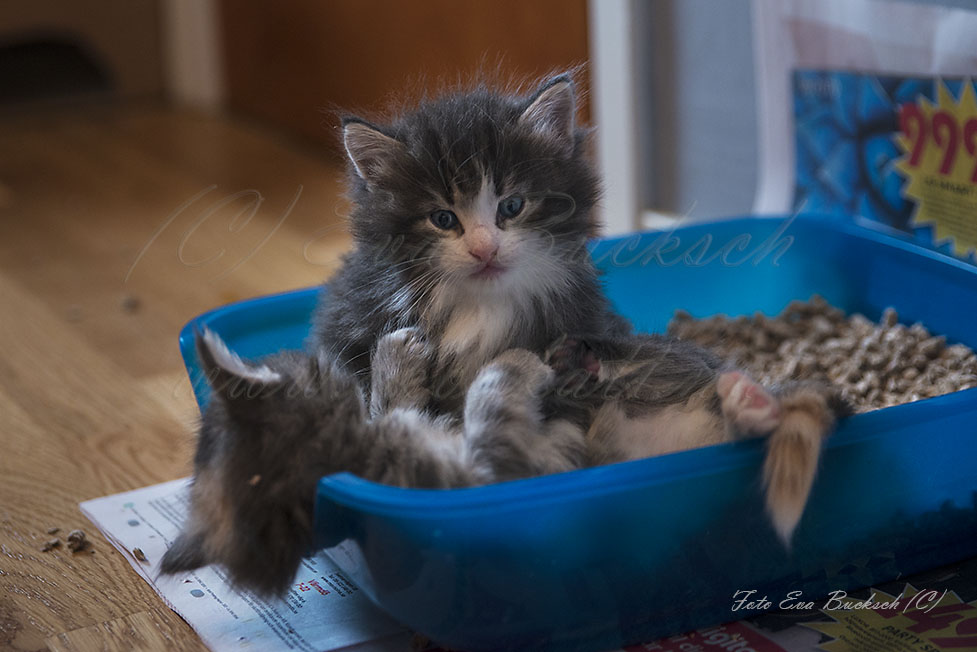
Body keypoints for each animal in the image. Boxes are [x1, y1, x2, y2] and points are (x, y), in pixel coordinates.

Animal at [162, 328, 848, 600]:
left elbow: (400, 402)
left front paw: (394, 362)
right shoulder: (500, 464)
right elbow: (489, 398)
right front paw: (511, 361)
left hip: (648, 372)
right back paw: (748, 405)